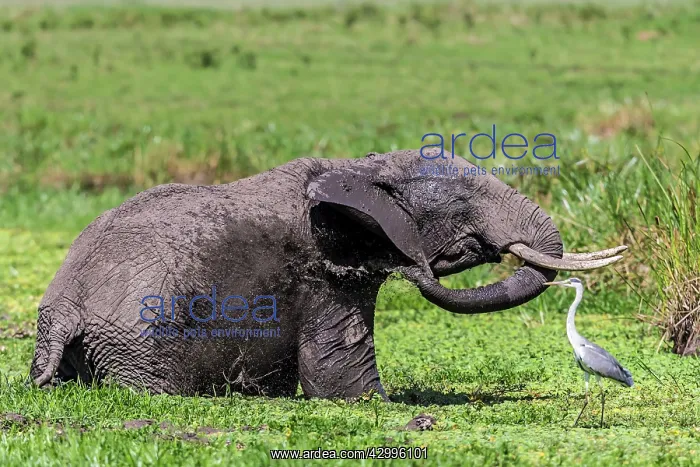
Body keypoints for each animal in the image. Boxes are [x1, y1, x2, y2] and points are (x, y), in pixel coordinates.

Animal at [30, 148, 625, 400]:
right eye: (460, 202)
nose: (427, 265)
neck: (358, 168)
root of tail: (62, 311)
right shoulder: (323, 276)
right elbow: (342, 380)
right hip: (141, 344)